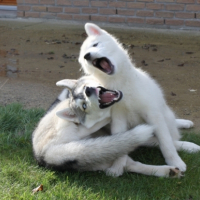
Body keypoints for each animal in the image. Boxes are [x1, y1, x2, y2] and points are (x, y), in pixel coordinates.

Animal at [78, 22, 200, 177]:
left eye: (95, 44)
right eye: (83, 57)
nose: (87, 56)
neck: (120, 84)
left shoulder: (153, 115)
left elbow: (166, 142)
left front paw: (175, 162)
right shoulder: (118, 120)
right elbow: (121, 144)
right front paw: (117, 167)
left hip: (164, 116)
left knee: (171, 134)